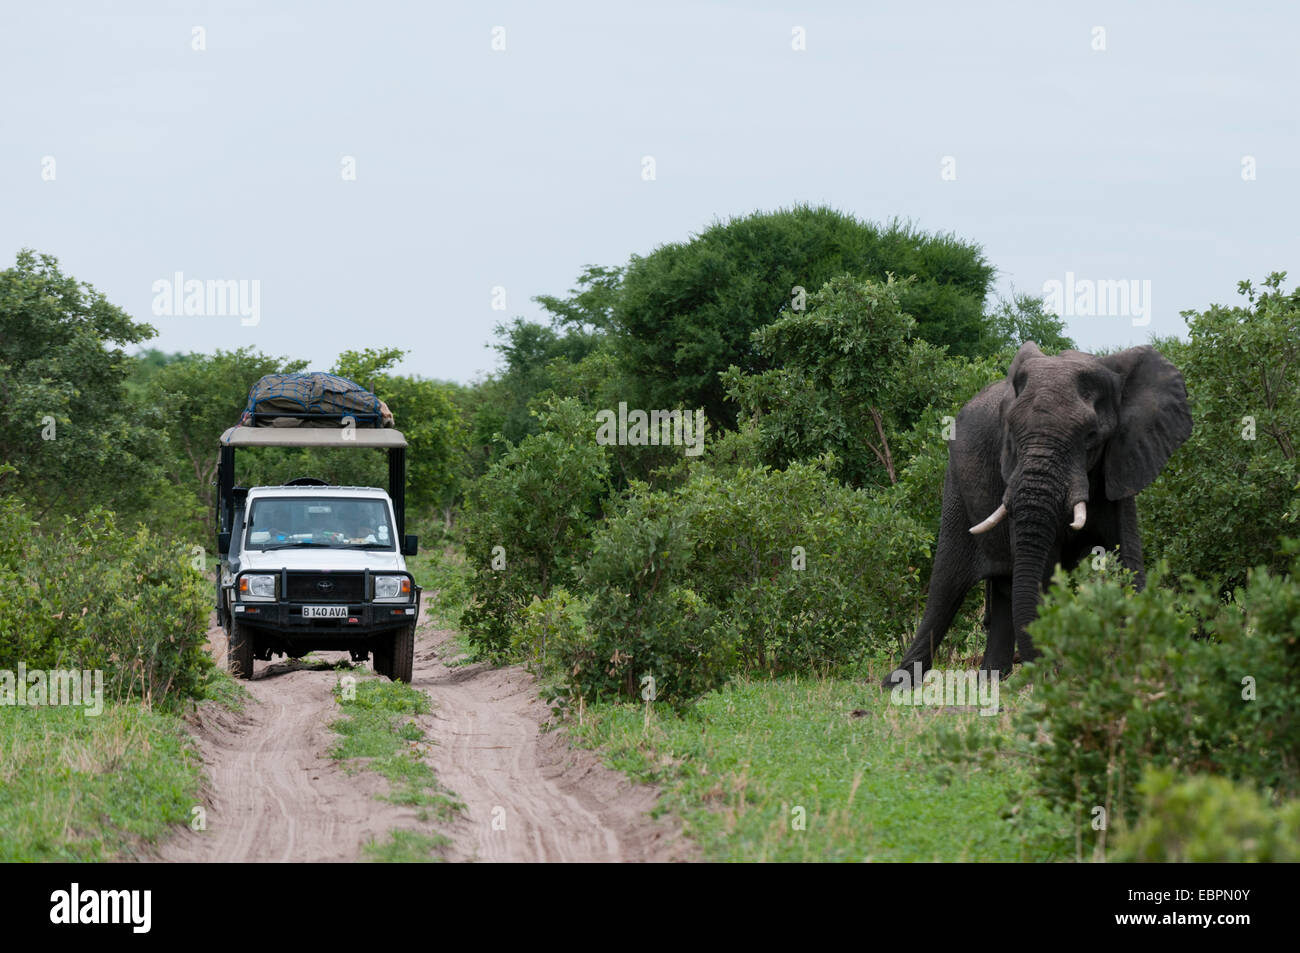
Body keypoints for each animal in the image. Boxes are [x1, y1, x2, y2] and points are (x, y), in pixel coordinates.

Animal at [881, 341, 1192, 688]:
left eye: (1091, 436)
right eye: (1011, 433)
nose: (1052, 672)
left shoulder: (1122, 464)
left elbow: (1128, 559)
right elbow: (1041, 569)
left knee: (1004, 587)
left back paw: (990, 681)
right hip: (956, 485)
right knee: (947, 584)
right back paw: (896, 683)